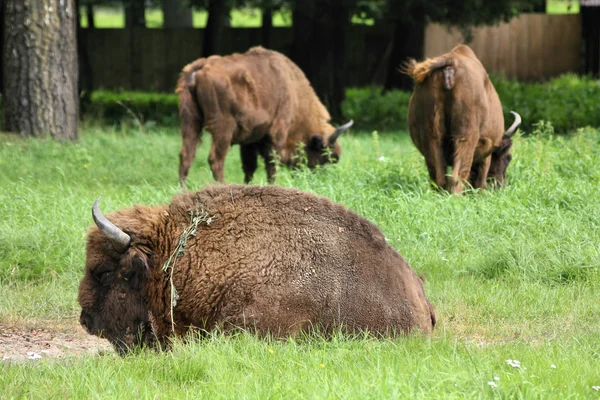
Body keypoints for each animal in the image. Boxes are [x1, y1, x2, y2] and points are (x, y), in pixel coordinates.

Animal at [175, 46, 352, 186]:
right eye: (328, 157)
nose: (320, 181)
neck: (294, 92)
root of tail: (199, 68)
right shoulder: (276, 134)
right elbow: (271, 165)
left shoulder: (249, 141)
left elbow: (249, 167)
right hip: (222, 129)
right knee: (215, 159)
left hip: (190, 122)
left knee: (186, 156)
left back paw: (183, 189)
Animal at [400, 44, 524, 195]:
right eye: (508, 158)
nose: (501, 186)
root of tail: (451, 62)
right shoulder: (486, 154)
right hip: (465, 137)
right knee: (458, 175)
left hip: (431, 135)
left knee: (438, 176)